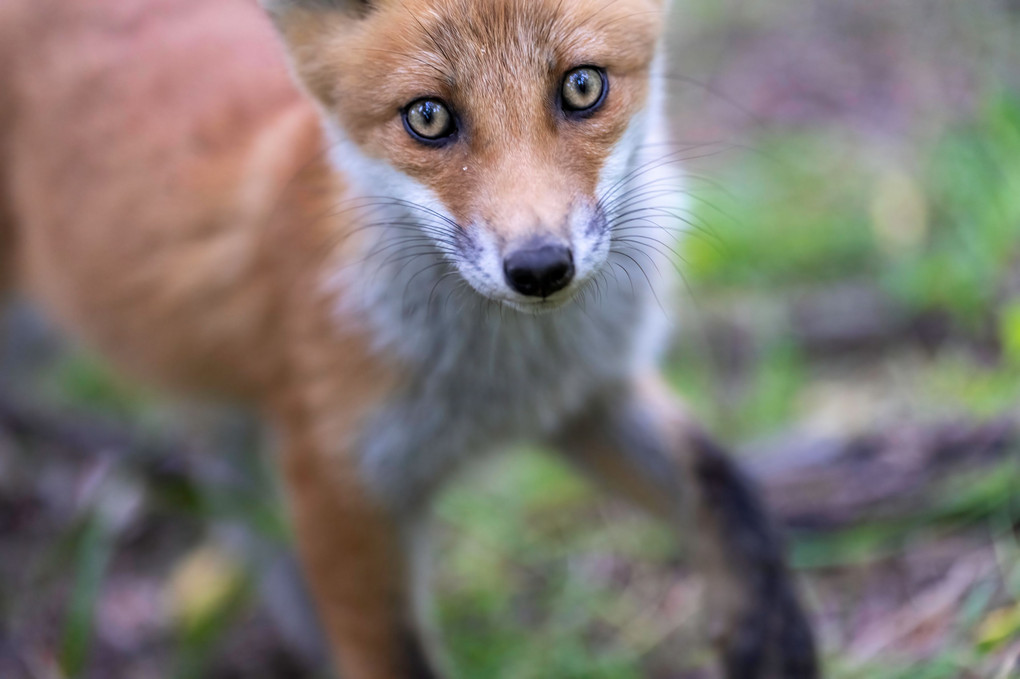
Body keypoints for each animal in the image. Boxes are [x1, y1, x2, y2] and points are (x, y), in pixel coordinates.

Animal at [0, 0, 820, 672]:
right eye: (427, 117)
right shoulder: (340, 481)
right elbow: (390, 655)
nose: (539, 268)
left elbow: (725, 488)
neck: (495, 380)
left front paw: (772, 636)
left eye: (582, 86)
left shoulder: (585, 396)